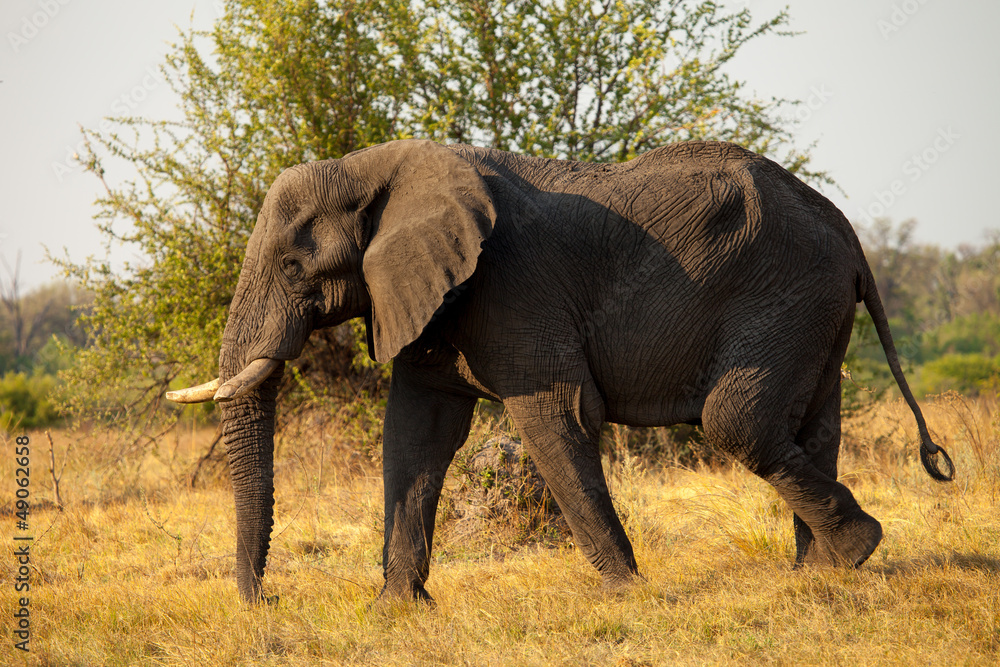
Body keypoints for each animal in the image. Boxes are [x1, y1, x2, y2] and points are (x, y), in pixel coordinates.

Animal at [167, 139, 954, 604]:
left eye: (291, 266)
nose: (265, 600)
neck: (383, 166)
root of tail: (849, 232)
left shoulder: (515, 287)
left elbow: (556, 415)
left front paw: (627, 594)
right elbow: (417, 433)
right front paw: (398, 608)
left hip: (787, 297)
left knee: (738, 422)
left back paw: (855, 551)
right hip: (813, 309)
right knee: (810, 425)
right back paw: (824, 574)